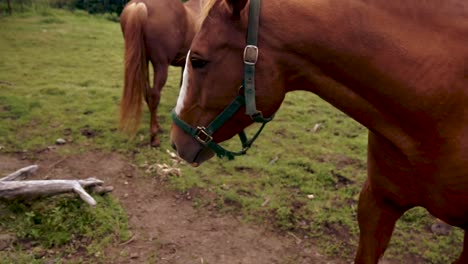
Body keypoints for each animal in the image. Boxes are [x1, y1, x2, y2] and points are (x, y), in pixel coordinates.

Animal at [118, 0, 200, 146]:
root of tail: (139, 4)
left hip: (143, 62)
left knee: (147, 93)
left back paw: (157, 127)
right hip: (160, 65)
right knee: (154, 95)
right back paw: (154, 137)